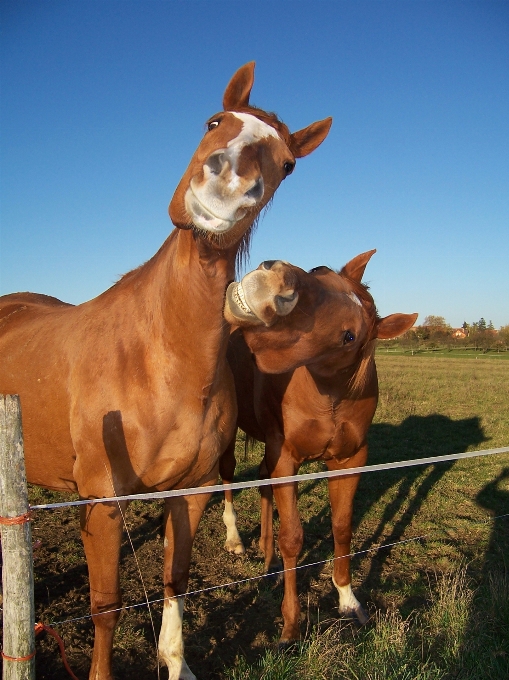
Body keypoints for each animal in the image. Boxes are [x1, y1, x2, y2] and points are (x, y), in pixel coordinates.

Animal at [0, 61, 332, 676]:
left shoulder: (192, 491)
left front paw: (176, 661)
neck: (159, 361)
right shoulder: (102, 504)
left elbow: (175, 578)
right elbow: (106, 604)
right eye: (214, 120)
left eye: (288, 164)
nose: (227, 187)